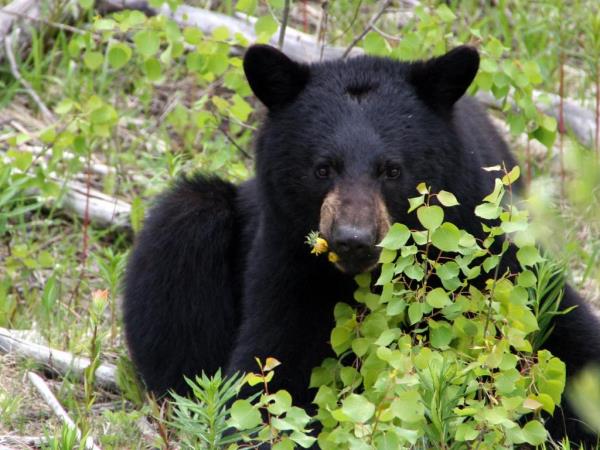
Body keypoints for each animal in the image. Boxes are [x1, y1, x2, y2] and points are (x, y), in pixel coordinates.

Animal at [123, 44, 600, 444]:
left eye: (392, 169)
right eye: (322, 168)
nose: (352, 239)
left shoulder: (492, 247)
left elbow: (565, 342)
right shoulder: (287, 258)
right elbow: (271, 368)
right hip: (197, 220)